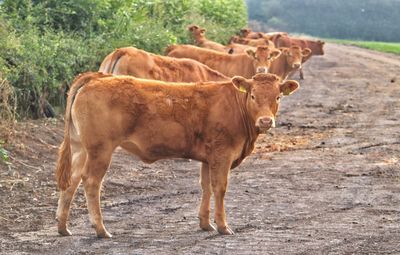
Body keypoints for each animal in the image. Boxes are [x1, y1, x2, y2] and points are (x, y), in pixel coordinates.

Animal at [56, 71, 300, 237]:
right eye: (252, 95)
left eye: (278, 97)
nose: (266, 121)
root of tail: (96, 77)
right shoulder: (222, 155)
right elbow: (219, 188)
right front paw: (223, 226)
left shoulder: (208, 158)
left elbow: (206, 187)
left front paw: (205, 224)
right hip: (100, 149)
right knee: (90, 182)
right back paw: (100, 229)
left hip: (80, 148)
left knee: (71, 182)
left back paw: (63, 227)